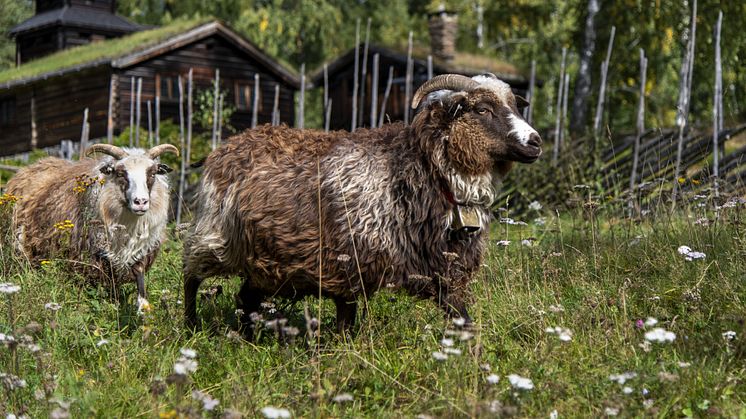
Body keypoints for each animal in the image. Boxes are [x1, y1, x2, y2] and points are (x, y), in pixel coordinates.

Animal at [182, 73, 536, 334]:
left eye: (515, 106)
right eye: (482, 109)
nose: (535, 142)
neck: (419, 167)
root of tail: (222, 148)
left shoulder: (438, 266)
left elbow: (461, 316)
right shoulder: (347, 262)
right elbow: (347, 323)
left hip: (262, 261)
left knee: (246, 299)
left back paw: (247, 337)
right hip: (216, 235)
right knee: (190, 275)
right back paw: (191, 327)